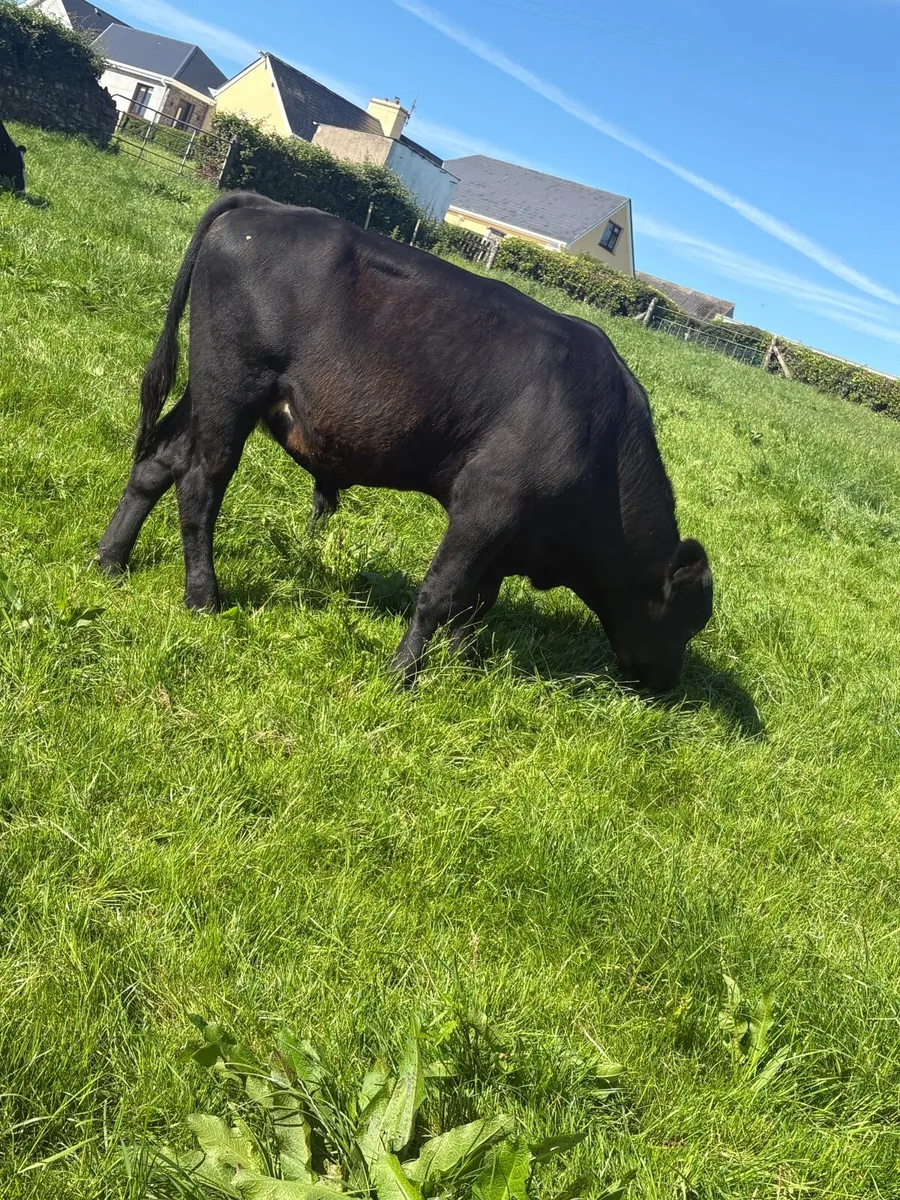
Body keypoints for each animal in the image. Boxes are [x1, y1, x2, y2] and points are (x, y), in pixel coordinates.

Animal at [97, 191, 713, 692]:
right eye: (691, 618)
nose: (670, 684)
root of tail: (266, 208)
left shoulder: (508, 532)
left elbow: (477, 602)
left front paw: (464, 667)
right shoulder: (487, 507)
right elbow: (441, 593)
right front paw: (402, 676)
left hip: (206, 390)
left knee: (157, 461)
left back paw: (110, 560)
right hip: (231, 387)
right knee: (201, 482)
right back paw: (203, 597)